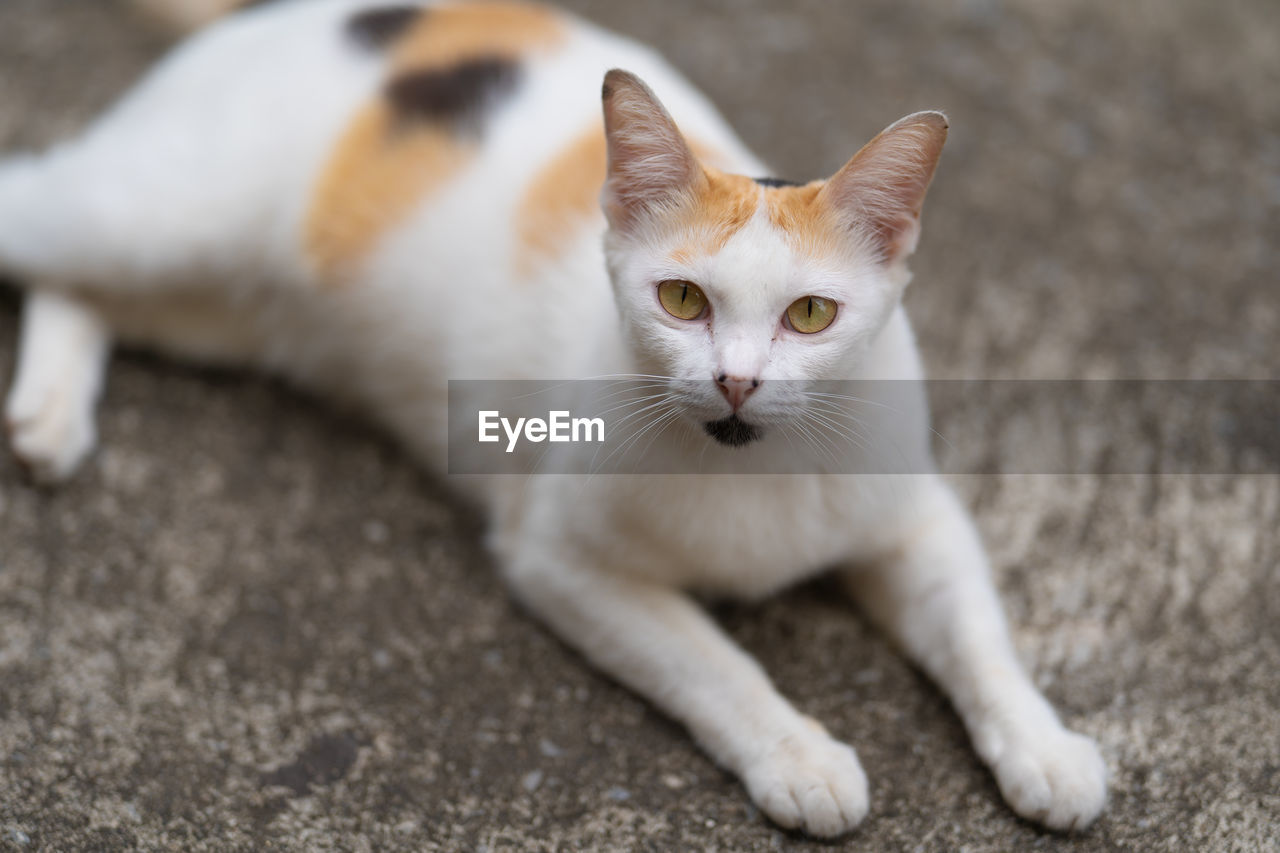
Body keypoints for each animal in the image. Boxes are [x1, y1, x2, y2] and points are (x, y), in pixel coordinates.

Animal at [0, 0, 1111, 835]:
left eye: (809, 315)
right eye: (681, 301)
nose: (737, 382)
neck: (751, 462)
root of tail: (286, 13)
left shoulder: (917, 517)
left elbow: (976, 633)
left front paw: (1045, 747)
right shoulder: (562, 562)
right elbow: (716, 662)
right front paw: (801, 754)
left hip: (222, 302)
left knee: (84, 289)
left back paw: (50, 415)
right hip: (163, 221)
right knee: (44, 218)